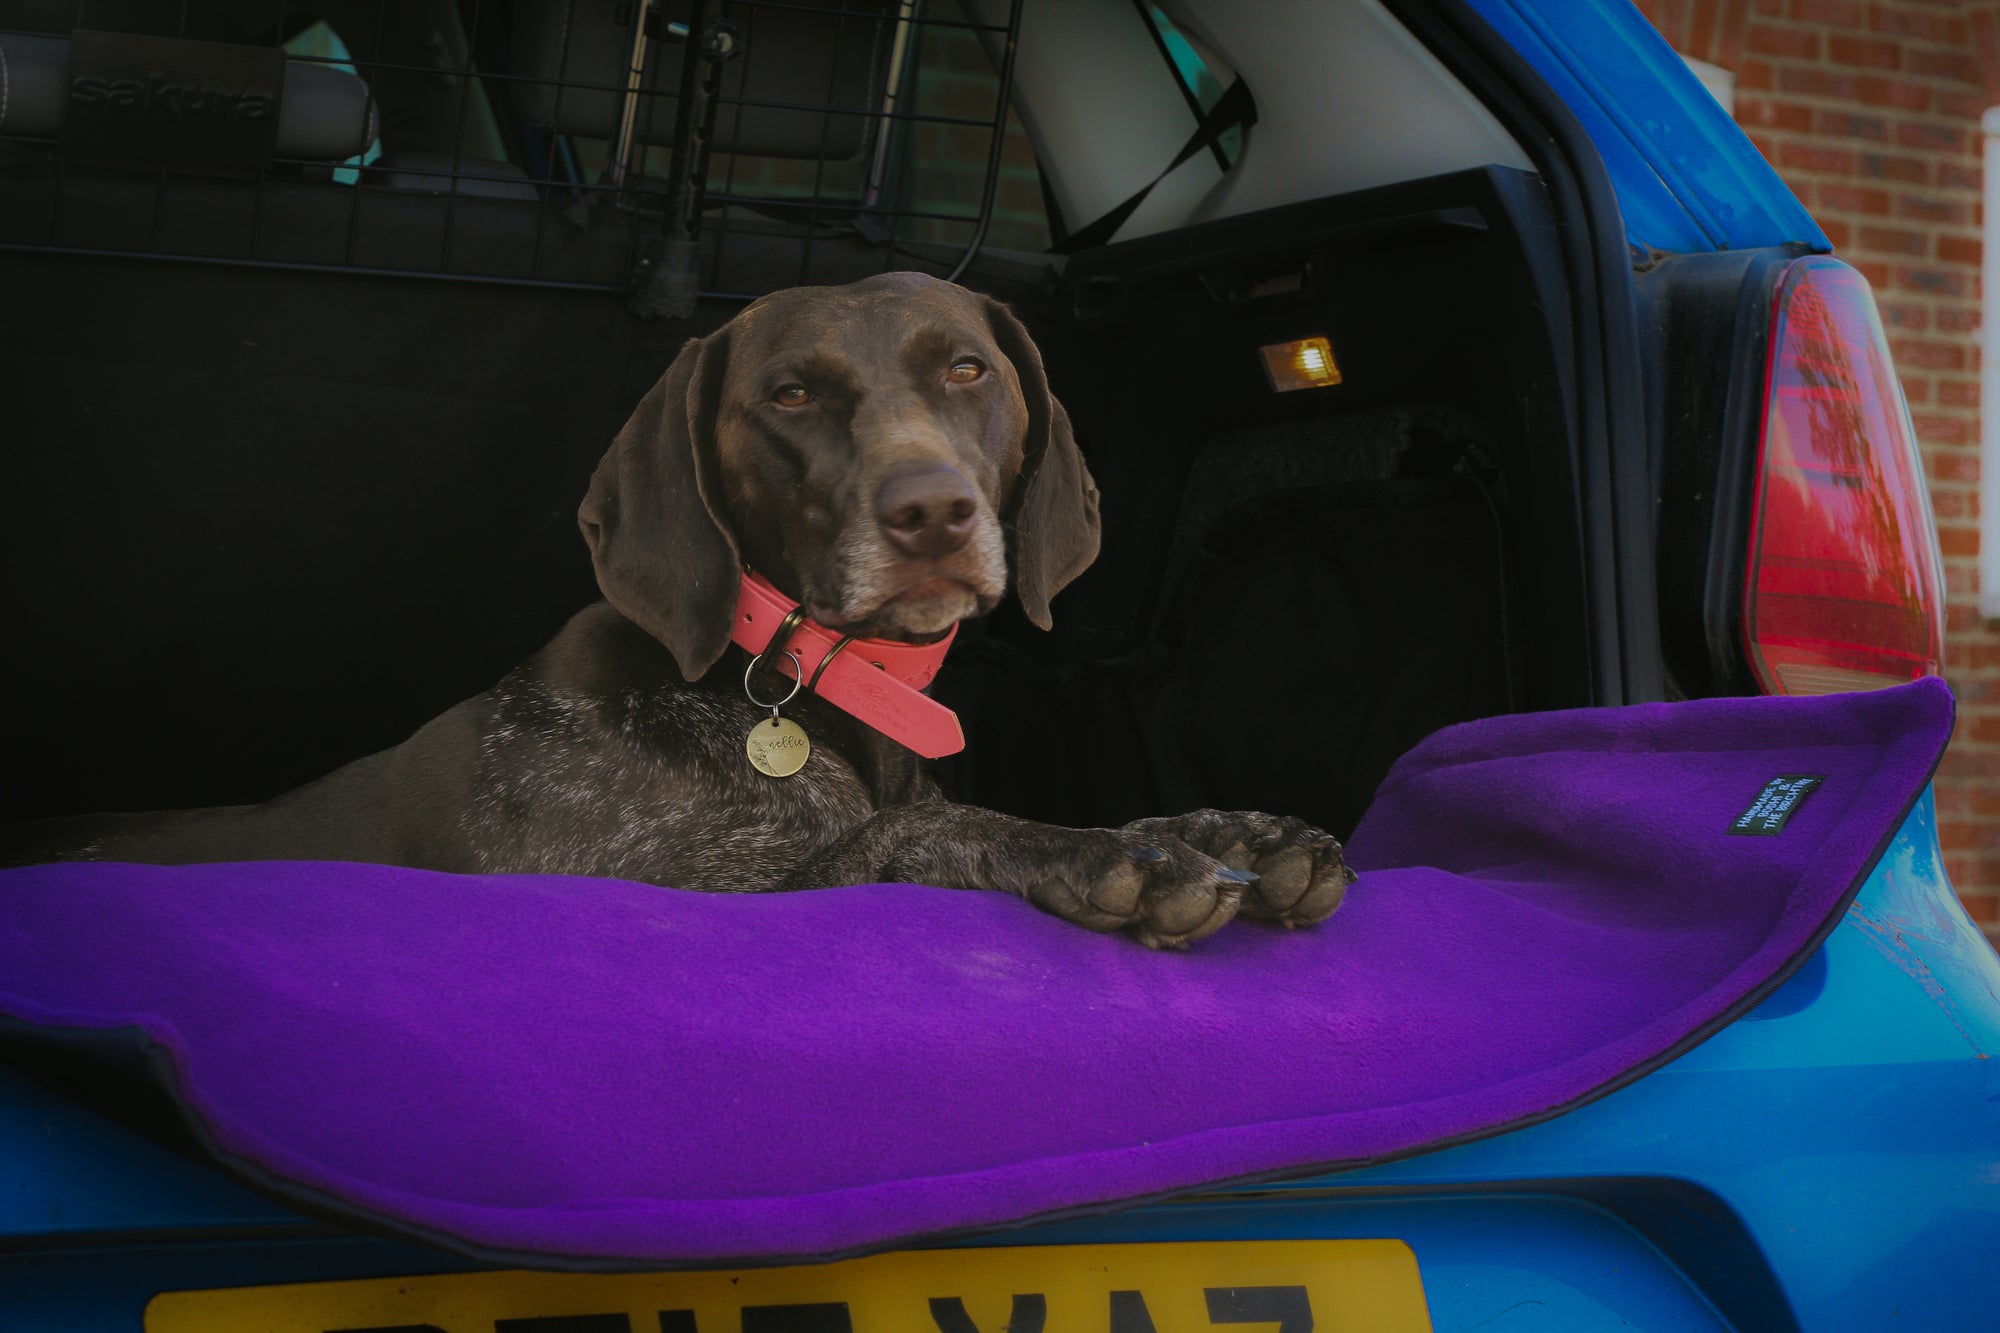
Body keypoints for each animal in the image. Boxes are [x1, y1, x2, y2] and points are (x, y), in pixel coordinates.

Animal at [7, 270, 1352, 940]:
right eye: (791, 394)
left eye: (967, 369)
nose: (931, 513)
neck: (805, 685)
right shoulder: (691, 893)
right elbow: (912, 838)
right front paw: (1103, 849)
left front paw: (1234, 826)